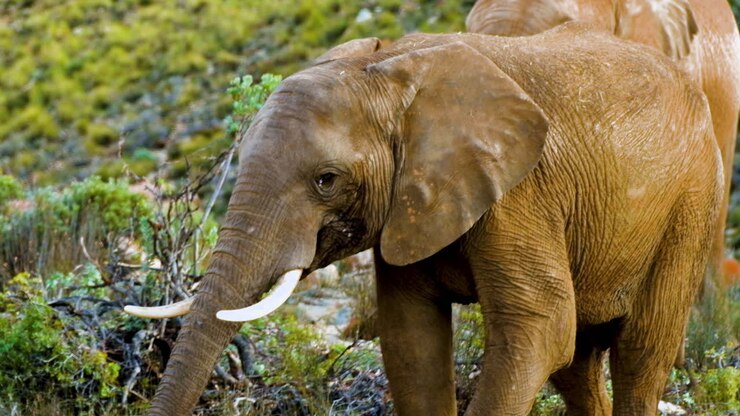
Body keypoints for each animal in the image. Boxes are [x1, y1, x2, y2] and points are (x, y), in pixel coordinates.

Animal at [125, 24, 722, 415]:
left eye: (326, 180)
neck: (389, 72)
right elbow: (412, 340)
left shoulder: (519, 193)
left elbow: (539, 329)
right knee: (579, 366)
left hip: (693, 205)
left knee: (639, 356)